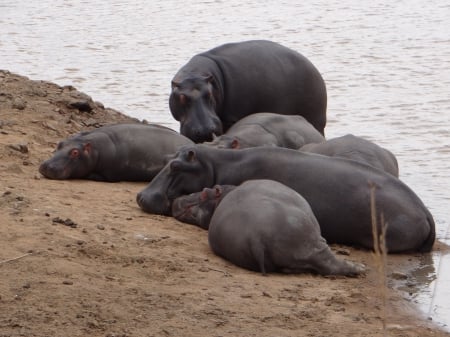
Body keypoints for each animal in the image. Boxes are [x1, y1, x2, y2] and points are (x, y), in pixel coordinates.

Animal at [169, 39, 326, 142]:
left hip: (316, 120)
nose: (206, 130)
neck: (195, 74)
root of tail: (314, 68)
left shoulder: (230, 118)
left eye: (210, 94)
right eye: (181, 97)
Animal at [171, 180, 362, 274]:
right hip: (310, 240)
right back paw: (359, 268)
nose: (177, 198)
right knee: (329, 264)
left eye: (203, 192)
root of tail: (257, 237)